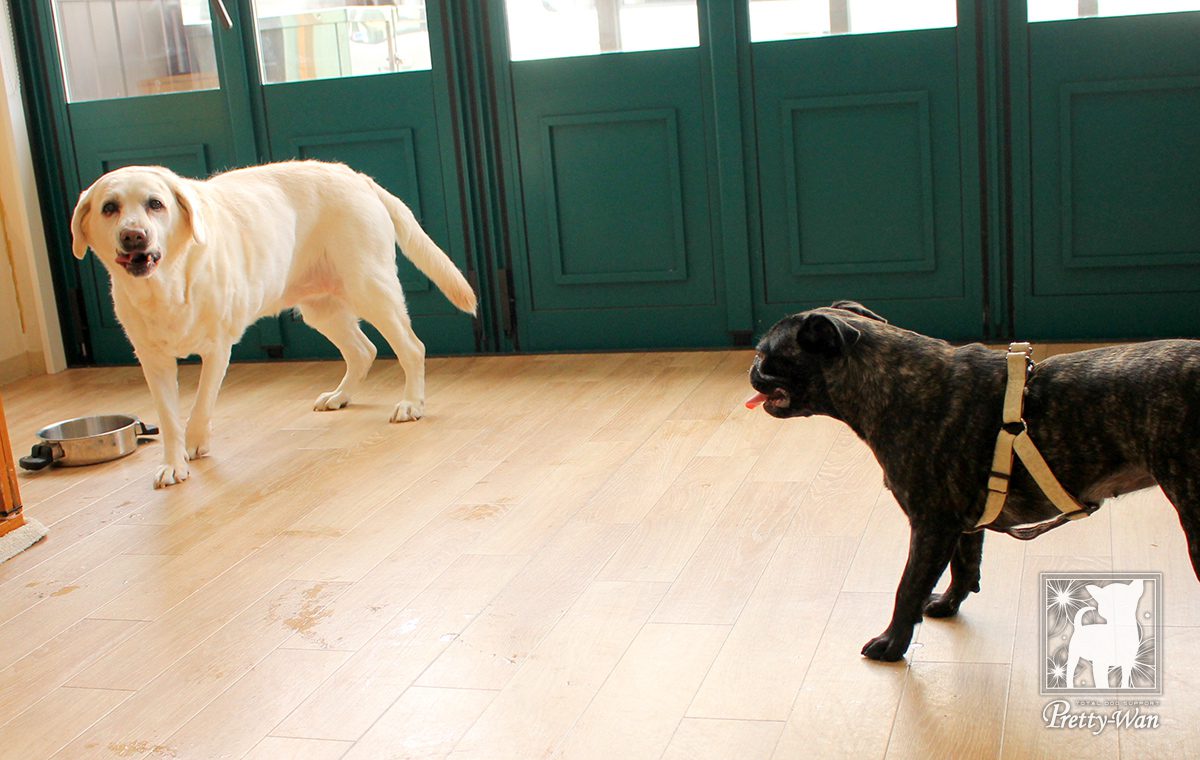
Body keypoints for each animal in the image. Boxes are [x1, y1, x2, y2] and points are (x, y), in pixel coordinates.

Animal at [71, 160, 477, 488]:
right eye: (110, 208)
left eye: (156, 204)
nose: (133, 236)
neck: (166, 283)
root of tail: (356, 176)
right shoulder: (153, 362)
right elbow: (169, 419)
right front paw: (174, 464)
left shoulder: (217, 349)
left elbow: (201, 404)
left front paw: (195, 443)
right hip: (320, 307)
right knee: (364, 349)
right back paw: (340, 396)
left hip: (370, 288)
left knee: (411, 347)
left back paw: (411, 403)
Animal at [747, 301, 1200, 661]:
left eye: (766, 354)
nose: (752, 368)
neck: (889, 381)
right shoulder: (965, 519)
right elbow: (965, 565)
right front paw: (948, 605)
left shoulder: (931, 526)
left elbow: (908, 585)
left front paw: (892, 644)